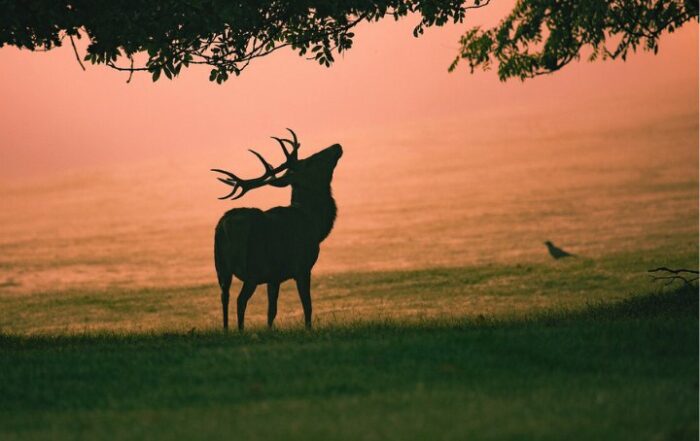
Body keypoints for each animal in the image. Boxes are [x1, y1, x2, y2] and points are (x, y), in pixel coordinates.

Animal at [213, 130, 344, 330]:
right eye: (309, 162)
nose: (336, 146)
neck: (315, 225)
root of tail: (224, 226)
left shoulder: (273, 276)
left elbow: (271, 311)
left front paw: (269, 330)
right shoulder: (302, 266)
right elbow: (308, 305)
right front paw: (308, 329)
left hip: (221, 267)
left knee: (224, 297)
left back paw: (227, 330)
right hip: (252, 267)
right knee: (240, 300)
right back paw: (240, 331)